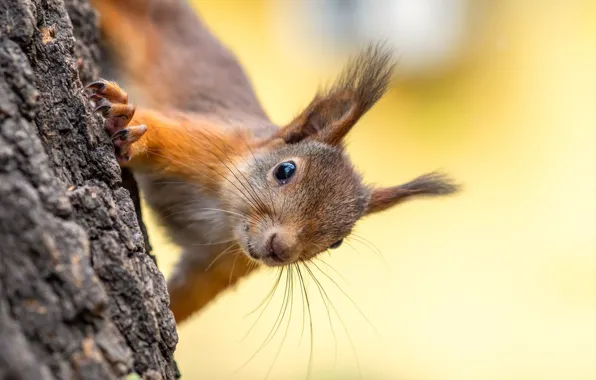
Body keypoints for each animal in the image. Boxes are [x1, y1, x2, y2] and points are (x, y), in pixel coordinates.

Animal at [89, 0, 460, 324]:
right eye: (285, 170)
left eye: (337, 242)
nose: (280, 249)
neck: (225, 220)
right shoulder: (209, 146)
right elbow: (160, 132)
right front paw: (126, 124)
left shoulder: (216, 265)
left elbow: (186, 297)